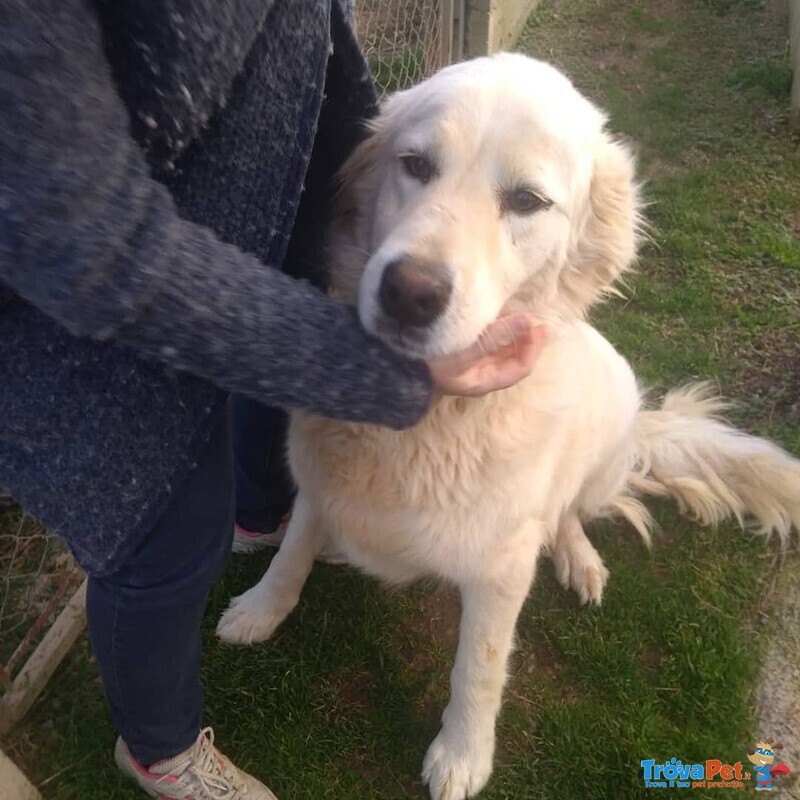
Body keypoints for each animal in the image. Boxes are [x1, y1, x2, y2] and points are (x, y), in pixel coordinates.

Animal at [217, 54, 800, 800]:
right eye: (415, 164)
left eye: (527, 201)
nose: (409, 292)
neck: (428, 424)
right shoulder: (318, 484)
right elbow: (291, 552)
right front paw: (262, 608)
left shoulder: (499, 571)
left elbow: (479, 668)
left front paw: (462, 755)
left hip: (606, 433)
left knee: (570, 512)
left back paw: (579, 558)